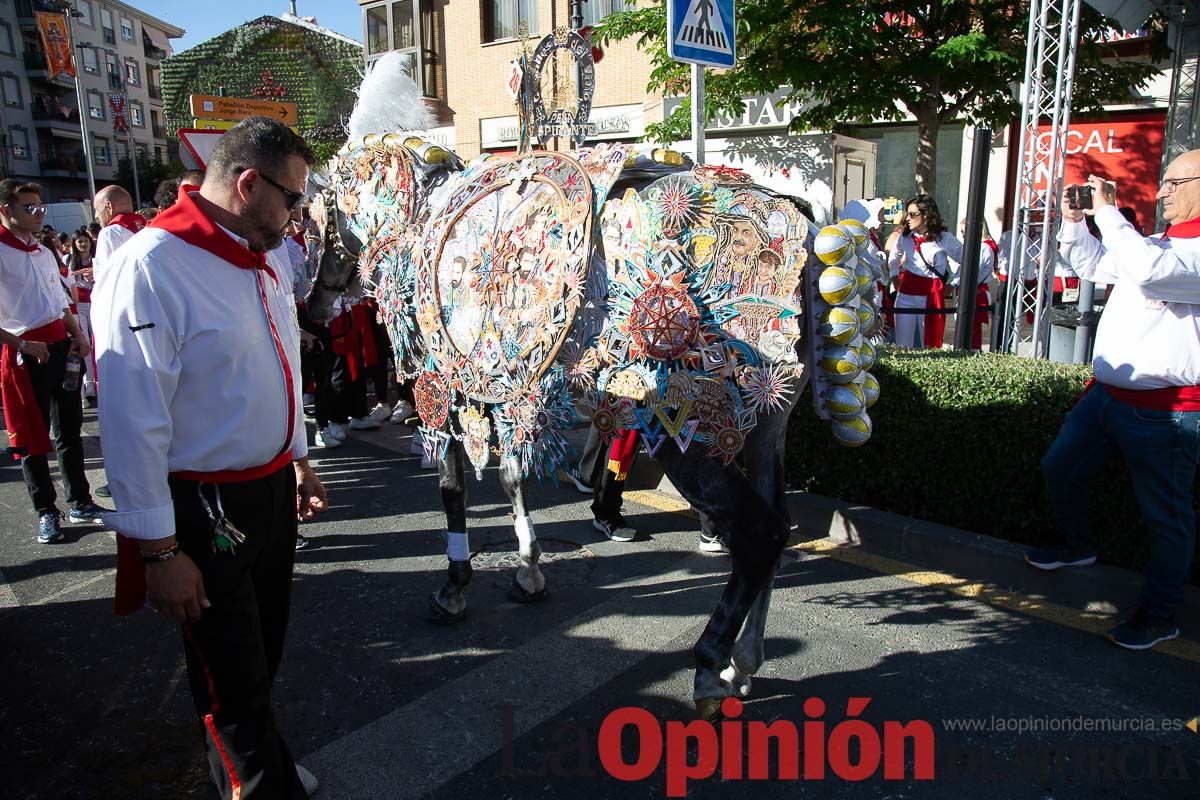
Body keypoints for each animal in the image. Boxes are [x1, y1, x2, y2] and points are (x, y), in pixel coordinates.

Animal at [302, 59, 883, 719]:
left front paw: (454, 585)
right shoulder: (502, 385)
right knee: (779, 526)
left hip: (690, 433)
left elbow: (453, 486)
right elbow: (511, 477)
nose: (314, 309)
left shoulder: (442, 387)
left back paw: (711, 667)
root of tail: (807, 234)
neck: (420, 224)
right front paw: (528, 568)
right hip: (763, 425)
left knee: (757, 536)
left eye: (315, 213)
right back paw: (744, 663)